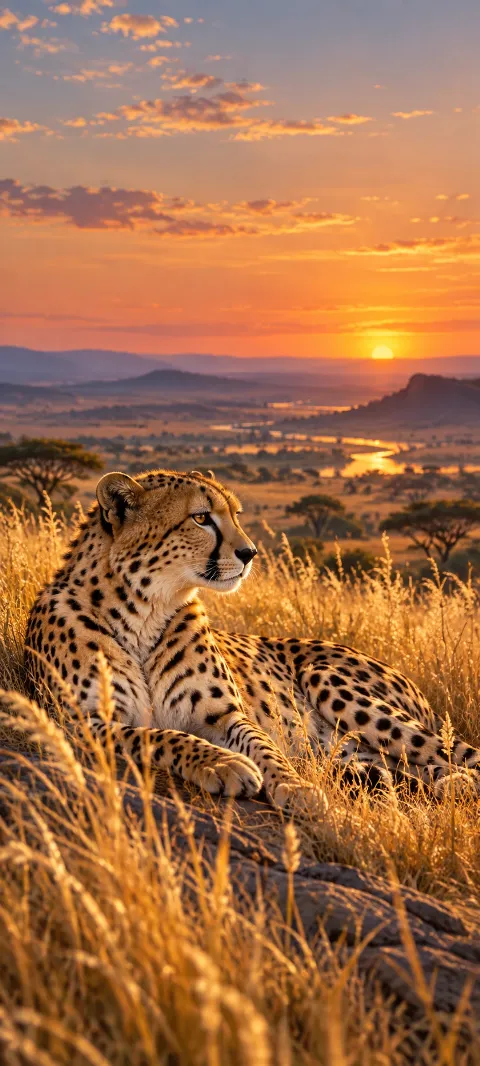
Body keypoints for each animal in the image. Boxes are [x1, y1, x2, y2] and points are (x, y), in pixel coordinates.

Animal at [22, 468, 480, 808]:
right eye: (201, 518)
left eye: (236, 514)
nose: (250, 553)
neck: (144, 611)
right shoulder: (80, 723)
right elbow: (158, 735)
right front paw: (223, 764)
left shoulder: (226, 714)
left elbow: (262, 744)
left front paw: (294, 786)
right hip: (350, 748)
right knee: (397, 766)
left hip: (326, 677)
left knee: (448, 754)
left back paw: (455, 782)